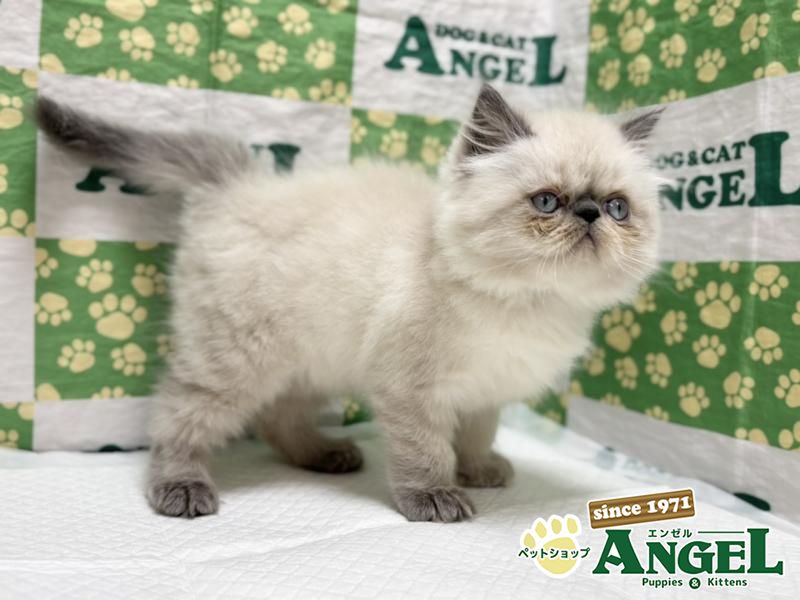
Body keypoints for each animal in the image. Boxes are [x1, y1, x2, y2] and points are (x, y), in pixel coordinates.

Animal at [36, 84, 662, 522]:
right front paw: (435, 497)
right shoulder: (409, 388)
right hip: (237, 358)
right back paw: (181, 487)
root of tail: (240, 184)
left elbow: (475, 435)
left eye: (617, 208)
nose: (589, 215)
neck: (525, 301)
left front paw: (480, 470)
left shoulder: (485, 391)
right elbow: (426, 450)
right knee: (177, 413)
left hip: (309, 358)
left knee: (278, 417)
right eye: (547, 202)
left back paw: (325, 455)